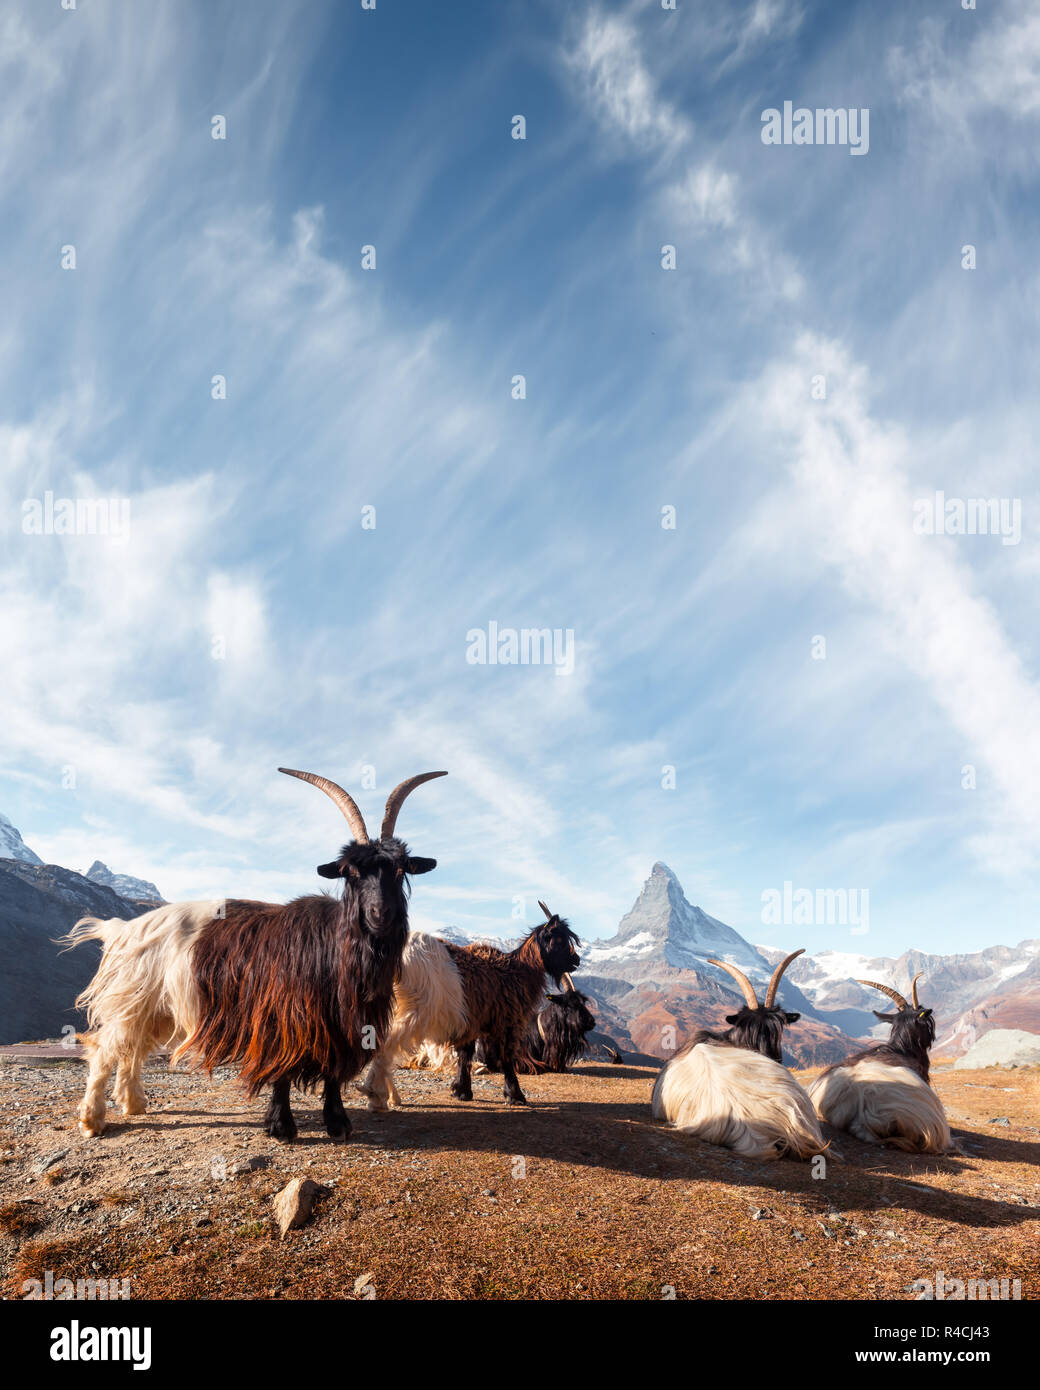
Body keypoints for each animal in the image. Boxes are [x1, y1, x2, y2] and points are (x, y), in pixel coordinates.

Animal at [63, 772, 447, 1139]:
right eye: (351, 871)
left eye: (400, 870)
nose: (380, 915)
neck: (335, 948)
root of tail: (123, 929)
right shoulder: (281, 1017)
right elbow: (282, 1072)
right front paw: (281, 1127)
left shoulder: (338, 1025)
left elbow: (333, 1073)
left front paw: (337, 1124)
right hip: (133, 999)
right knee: (104, 1050)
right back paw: (92, 1120)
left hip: (155, 1008)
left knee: (131, 1051)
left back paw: (133, 1103)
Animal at [361, 900, 581, 1106]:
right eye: (559, 939)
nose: (576, 960)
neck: (519, 971)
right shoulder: (507, 1021)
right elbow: (506, 1057)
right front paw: (515, 1096)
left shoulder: (471, 1020)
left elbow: (465, 1054)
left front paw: (461, 1091)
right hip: (414, 1010)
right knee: (385, 1046)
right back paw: (379, 1094)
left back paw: (389, 1096)